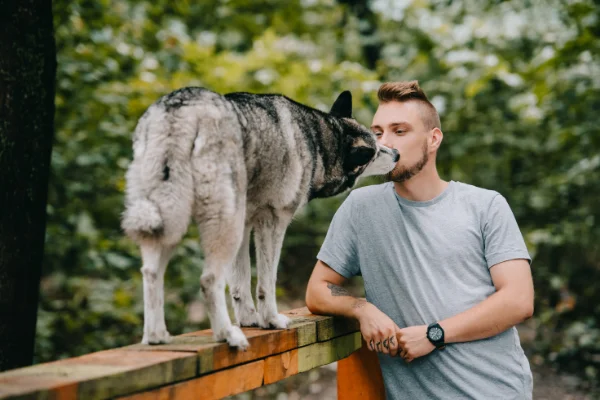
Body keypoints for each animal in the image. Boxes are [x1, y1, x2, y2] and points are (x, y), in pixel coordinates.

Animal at [121, 86, 400, 348]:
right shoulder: (273, 222)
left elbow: (240, 283)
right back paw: (226, 335)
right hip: (221, 226)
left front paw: (249, 319)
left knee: (151, 273)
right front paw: (271, 320)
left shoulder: (246, 227)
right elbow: (266, 281)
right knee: (209, 280)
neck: (317, 141)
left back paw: (156, 336)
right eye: (375, 152)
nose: (396, 154)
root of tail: (183, 109)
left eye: (379, 141)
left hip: (173, 223)